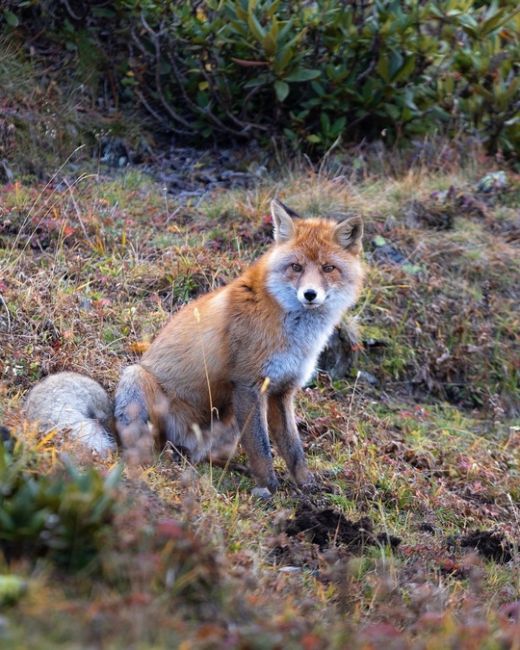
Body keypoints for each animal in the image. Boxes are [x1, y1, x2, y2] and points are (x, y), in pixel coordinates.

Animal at [25, 202, 366, 496]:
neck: (296, 333)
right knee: (144, 450)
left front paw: (306, 486)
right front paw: (268, 488)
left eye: (328, 268)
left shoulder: (282, 391)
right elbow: (261, 448)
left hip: (225, 424)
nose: (310, 294)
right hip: (138, 380)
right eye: (296, 266)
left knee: (207, 457)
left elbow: (294, 449)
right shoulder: (249, 385)